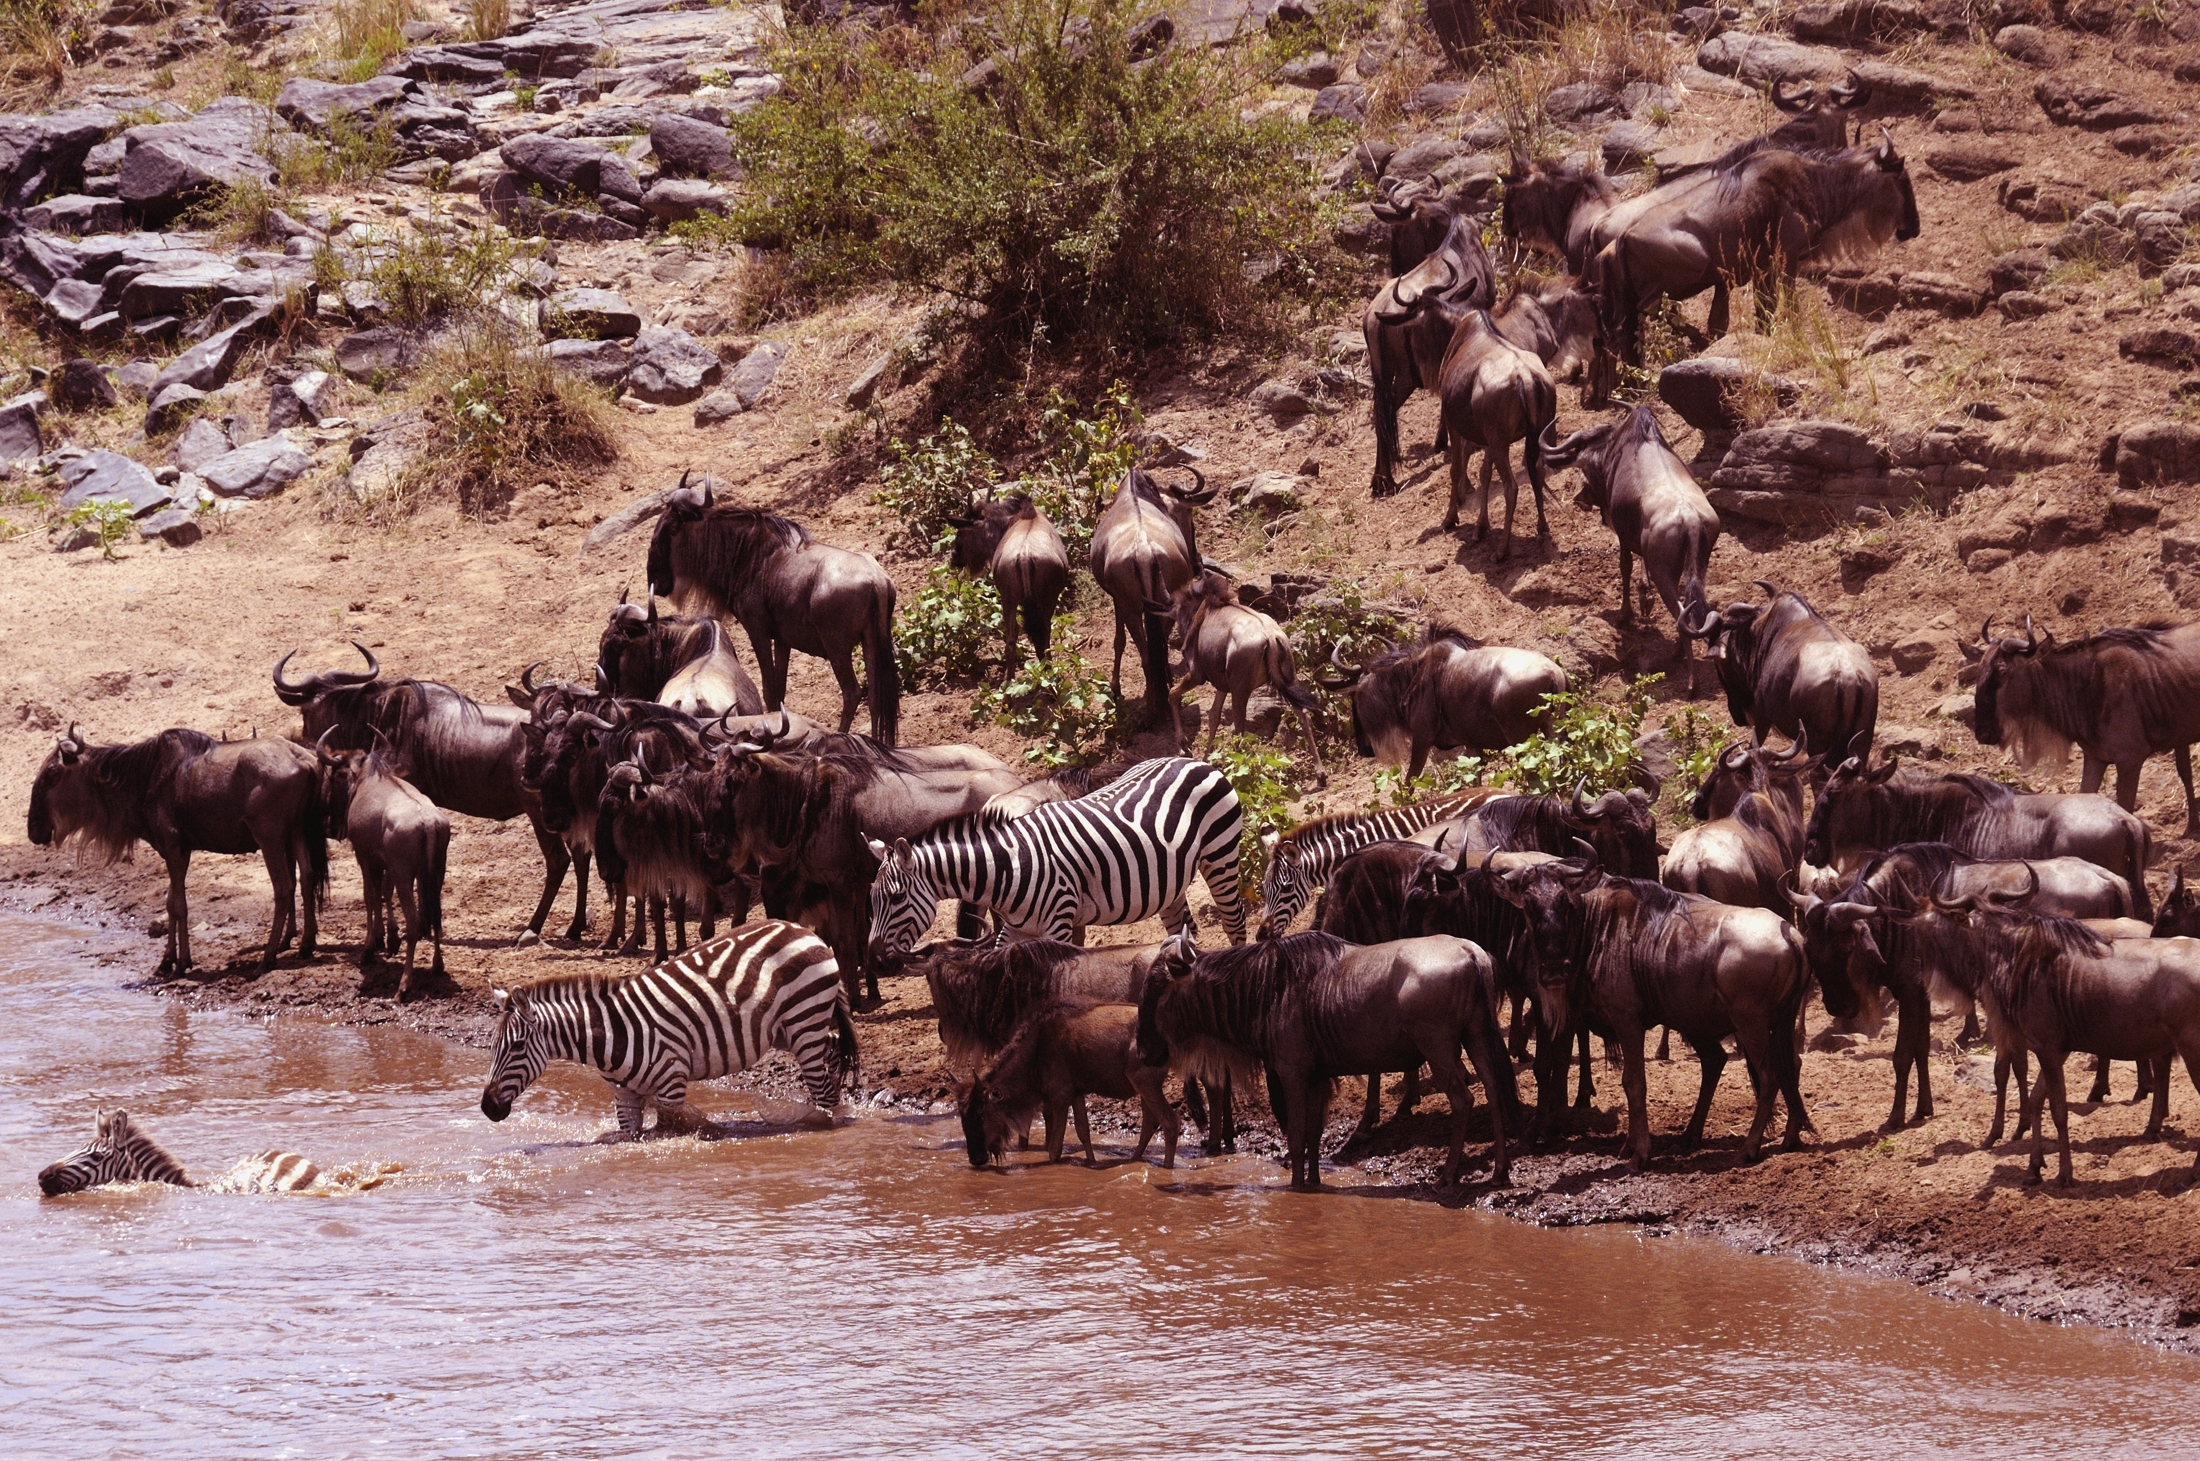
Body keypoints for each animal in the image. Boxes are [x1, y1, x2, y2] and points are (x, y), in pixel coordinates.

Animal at [479, 918, 859, 1139]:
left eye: (517, 1047)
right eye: (493, 1048)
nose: (487, 1108)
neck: (612, 1034)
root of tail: (805, 931)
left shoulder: (671, 1087)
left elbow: (668, 1133)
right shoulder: (625, 1099)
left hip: (804, 1022)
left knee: (824, 1090)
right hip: (790, 1031)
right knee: (831, 1058)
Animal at [866, 756, 1247, 960]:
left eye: (897, 897)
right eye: (873, 898)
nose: (875, 954)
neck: (1007, 868)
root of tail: (1189, 759)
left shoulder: (1060, 922)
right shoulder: (1016, 929)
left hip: (1221, 855)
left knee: (1235, 922)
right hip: (1169, 881)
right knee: (1184, 928)